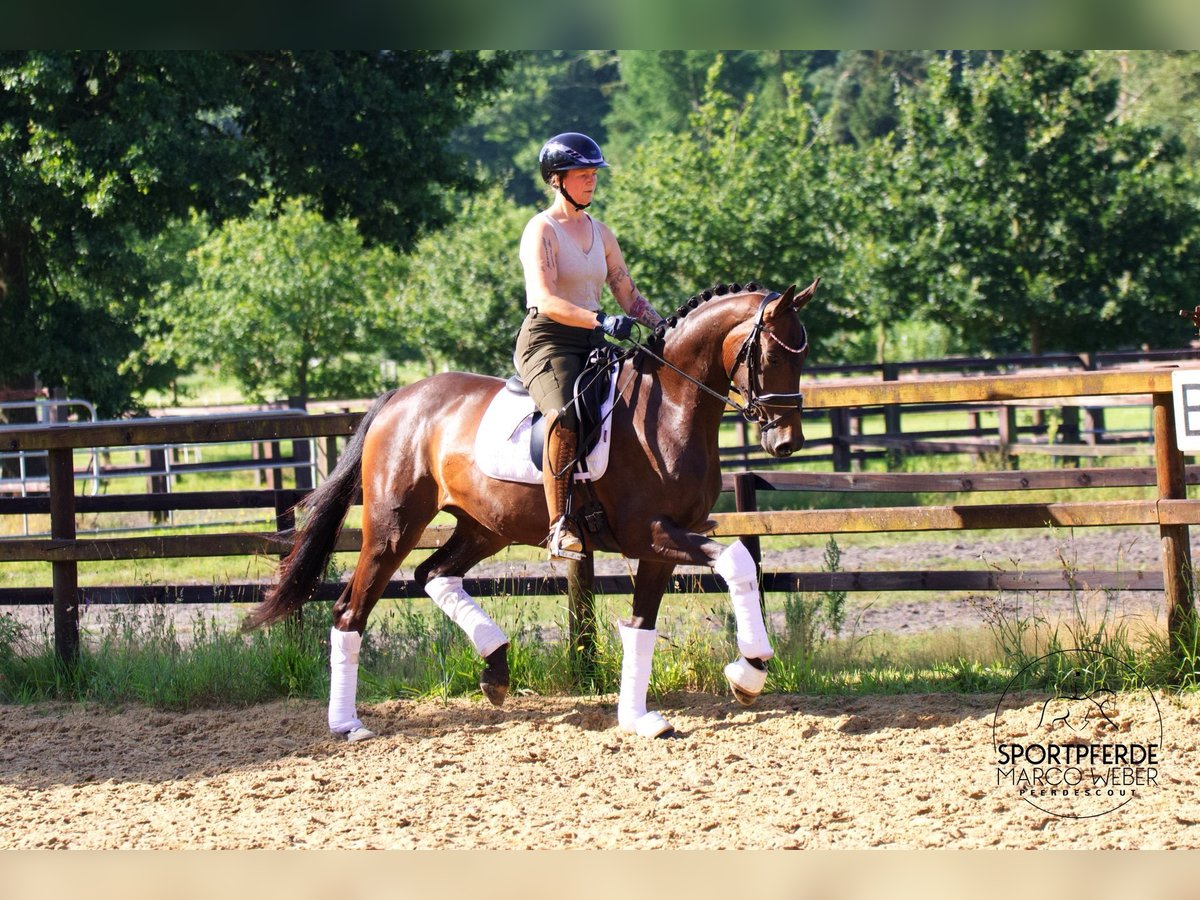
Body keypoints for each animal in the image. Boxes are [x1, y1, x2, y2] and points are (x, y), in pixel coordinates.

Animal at [243, 278, 819, 740]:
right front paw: (749, 671)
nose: (786, 442)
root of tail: (399, 398)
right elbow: (738, 561)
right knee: (351, 611)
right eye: (772, 356)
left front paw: (638, 719)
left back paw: (496, 668)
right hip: (392, 527)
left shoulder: (664, 543)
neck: (672, 407)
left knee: (434, 574)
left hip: (485, 527)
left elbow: (642, 626)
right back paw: (348, 724)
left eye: (803, 359)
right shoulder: (650, 533)